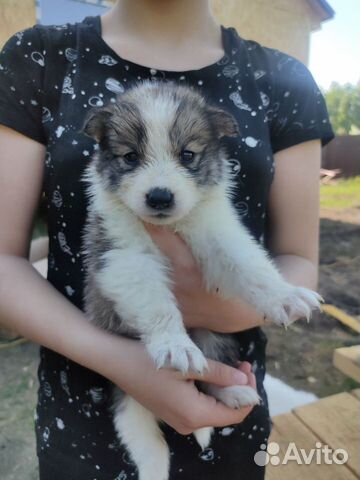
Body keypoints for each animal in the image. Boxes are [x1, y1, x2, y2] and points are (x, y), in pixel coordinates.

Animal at [81, 81, 320, 480]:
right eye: (130, 157)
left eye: (188, 155)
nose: (159, 197)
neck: (171, 225)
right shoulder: (123, 255)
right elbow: (155, 302)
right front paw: (174, 344)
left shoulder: (218, 231)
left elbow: (250, 265)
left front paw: (284, 295)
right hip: (128, 387)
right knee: (141, 436)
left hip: (215, 338)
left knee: (213, 373)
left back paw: (233, 393)